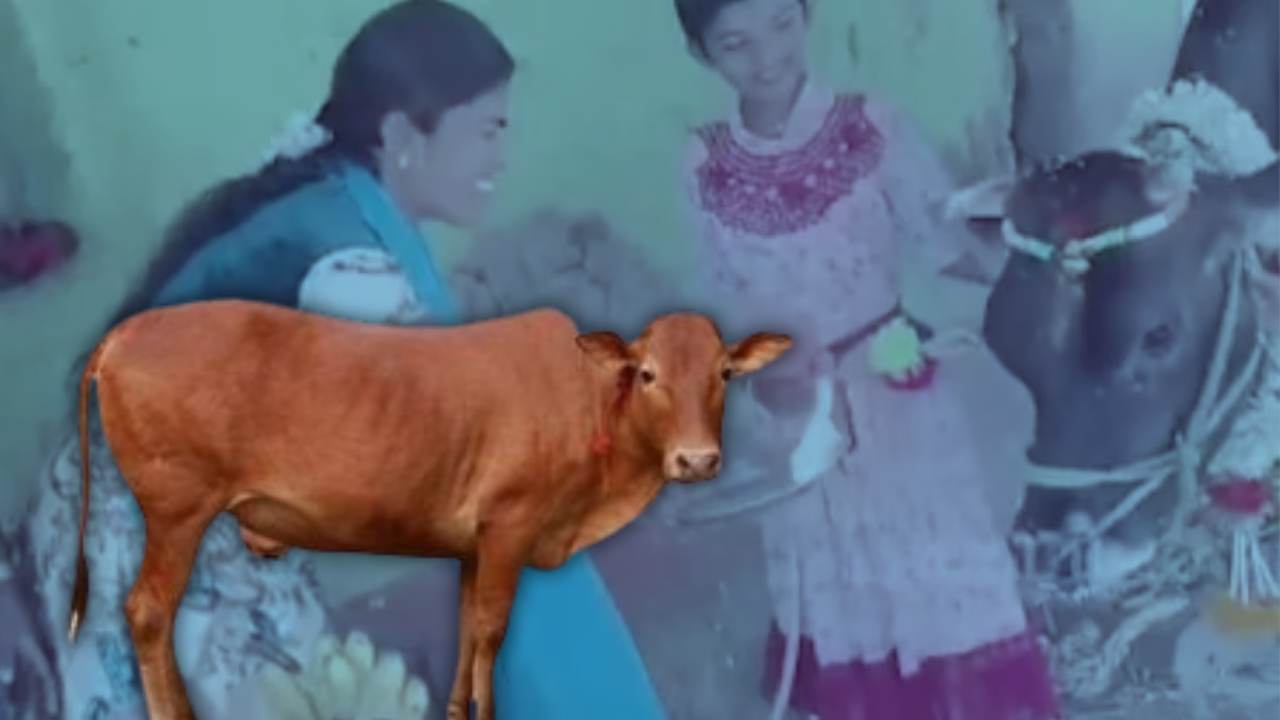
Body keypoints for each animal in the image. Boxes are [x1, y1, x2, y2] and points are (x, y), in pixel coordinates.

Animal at [70, 295, 793, 712]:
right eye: (647, 374)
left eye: (724, 374)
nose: (697, 460)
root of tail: (123, 333)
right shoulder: (511, 522)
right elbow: (493, 630)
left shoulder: (474, 541)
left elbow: (469, 626)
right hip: (177, 509)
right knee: (147, 613)